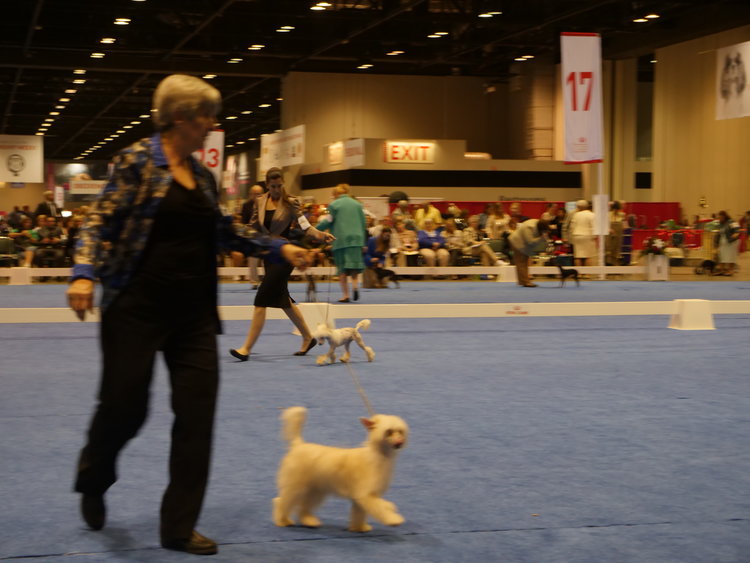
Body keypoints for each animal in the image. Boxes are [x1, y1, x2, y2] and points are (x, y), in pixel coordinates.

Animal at [272, 406, 408, 532]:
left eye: (400, 431)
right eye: (389, 431)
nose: (400, 442)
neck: (378, 456)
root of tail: (298, 445)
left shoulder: (361, 498)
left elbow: (359, 513)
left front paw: (359, 528)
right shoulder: (366, 495)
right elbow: (381, 507)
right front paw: (394, 519)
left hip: (315, 490)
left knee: (304, 507)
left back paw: (309, 521)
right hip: (295, 487)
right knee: (281, 501)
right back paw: (283, 521)